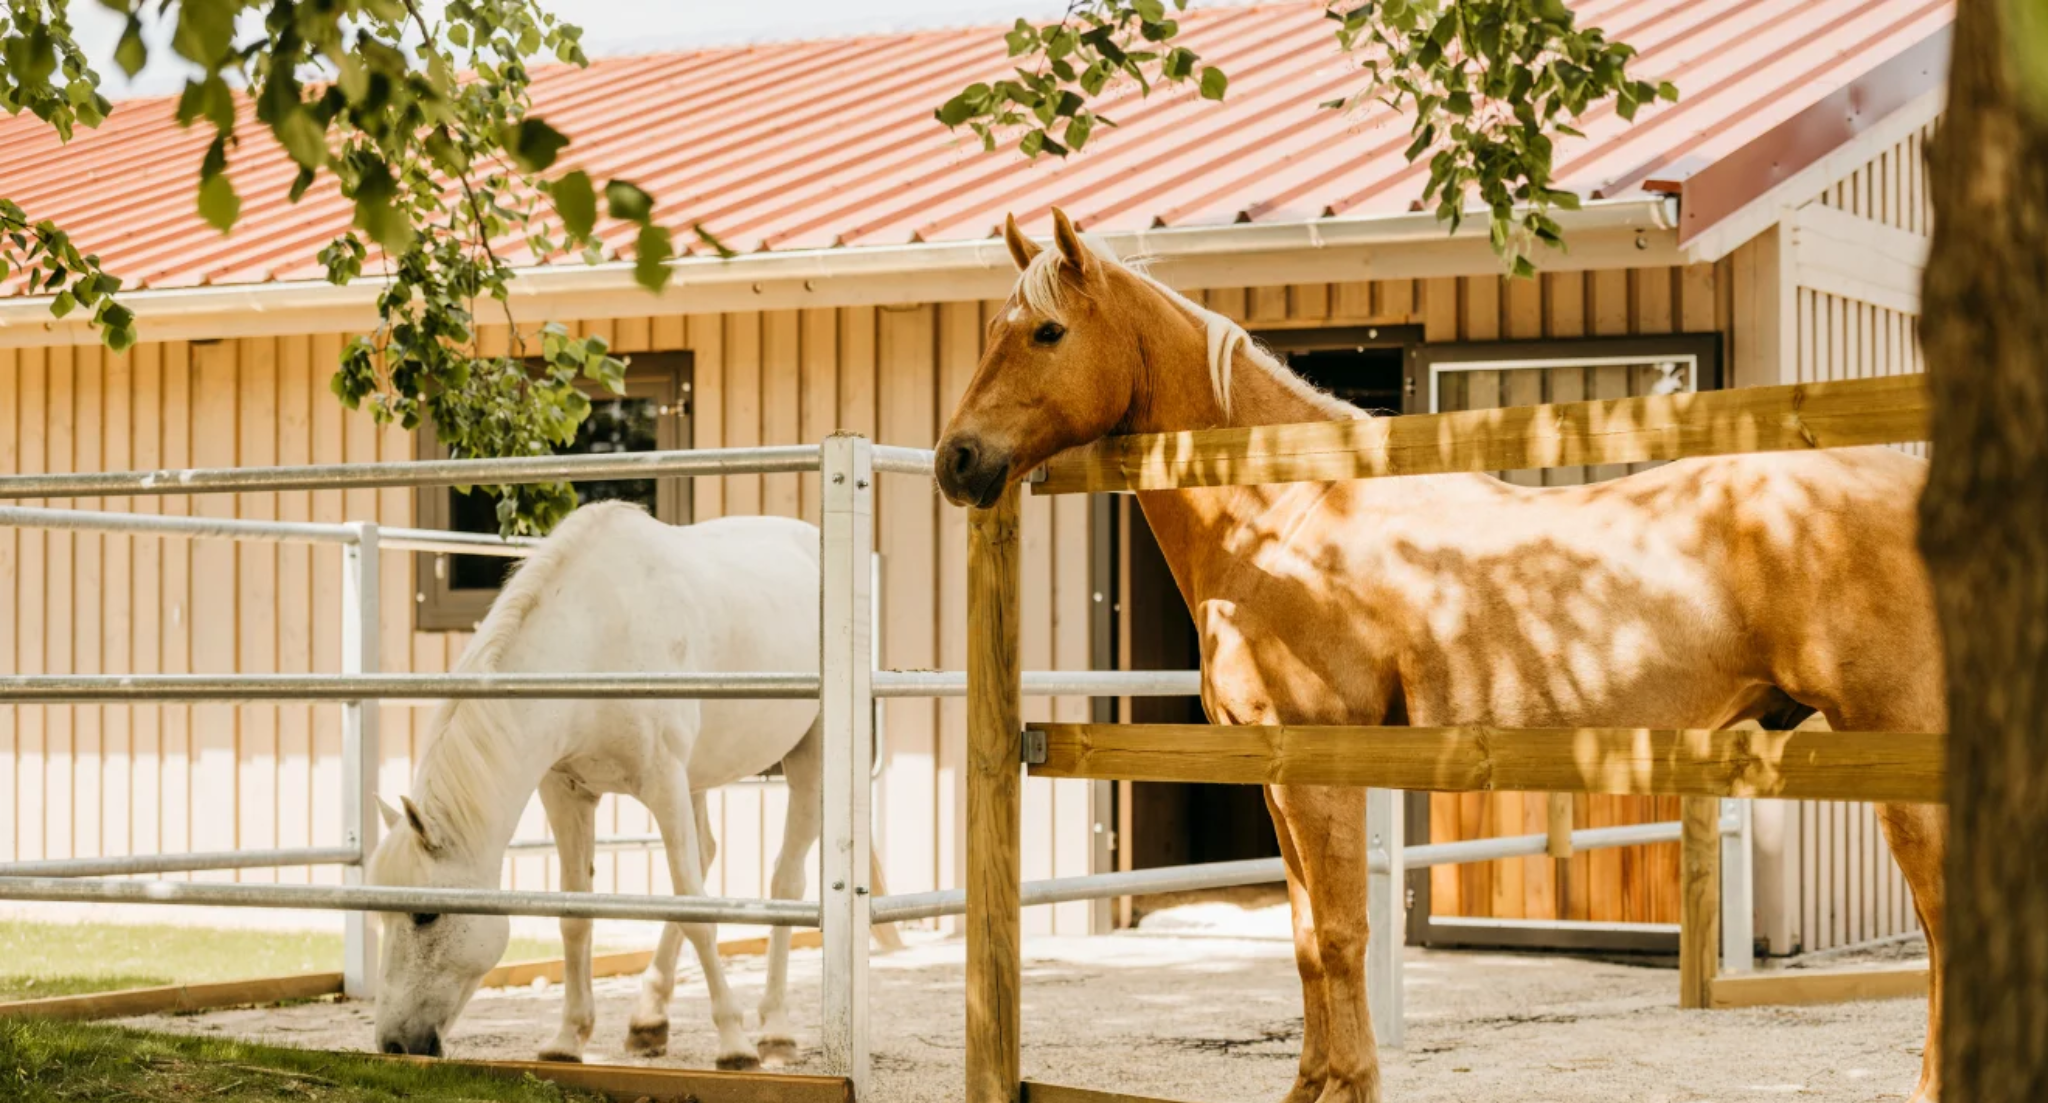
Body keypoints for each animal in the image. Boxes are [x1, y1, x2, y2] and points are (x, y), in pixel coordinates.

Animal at [368, 503, 897, 1072]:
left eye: (425, 915)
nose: (393, 1045)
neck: (595, 636)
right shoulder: (567, 791)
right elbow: (578, 915)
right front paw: (568, 1038)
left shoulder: (663, 781)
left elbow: (698, 913)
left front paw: (734, 1045)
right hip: (698, 778)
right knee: (706, 855)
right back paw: (649, 1020)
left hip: (807, 760)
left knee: (785, 881)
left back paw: (774, 1031)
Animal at [937, 211, 1941, 1096]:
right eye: (989, 329)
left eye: (1047, 330)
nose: (957, 460)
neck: (1286, 517)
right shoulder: (1277, 773)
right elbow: (1305, 938)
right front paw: (1313, 1084)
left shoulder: (1322, 768)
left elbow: (1340, 933)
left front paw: (1349, 1086)